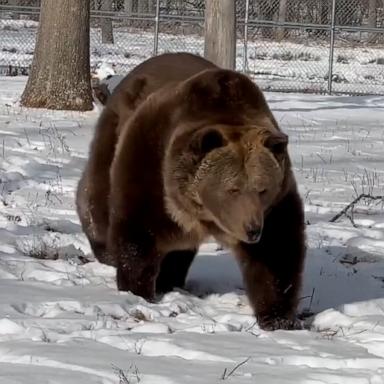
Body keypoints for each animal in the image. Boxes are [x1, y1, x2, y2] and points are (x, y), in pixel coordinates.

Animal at [77, 52, 306, 332]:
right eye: (232, 189)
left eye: (262, 189)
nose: (252, 230)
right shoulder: (152, 165)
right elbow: (137, 232)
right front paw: (136, 289)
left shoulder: (275, 205)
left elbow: (275, 253)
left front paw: (278, 318)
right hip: (113, 134)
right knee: (97, 201)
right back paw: (105, 249)